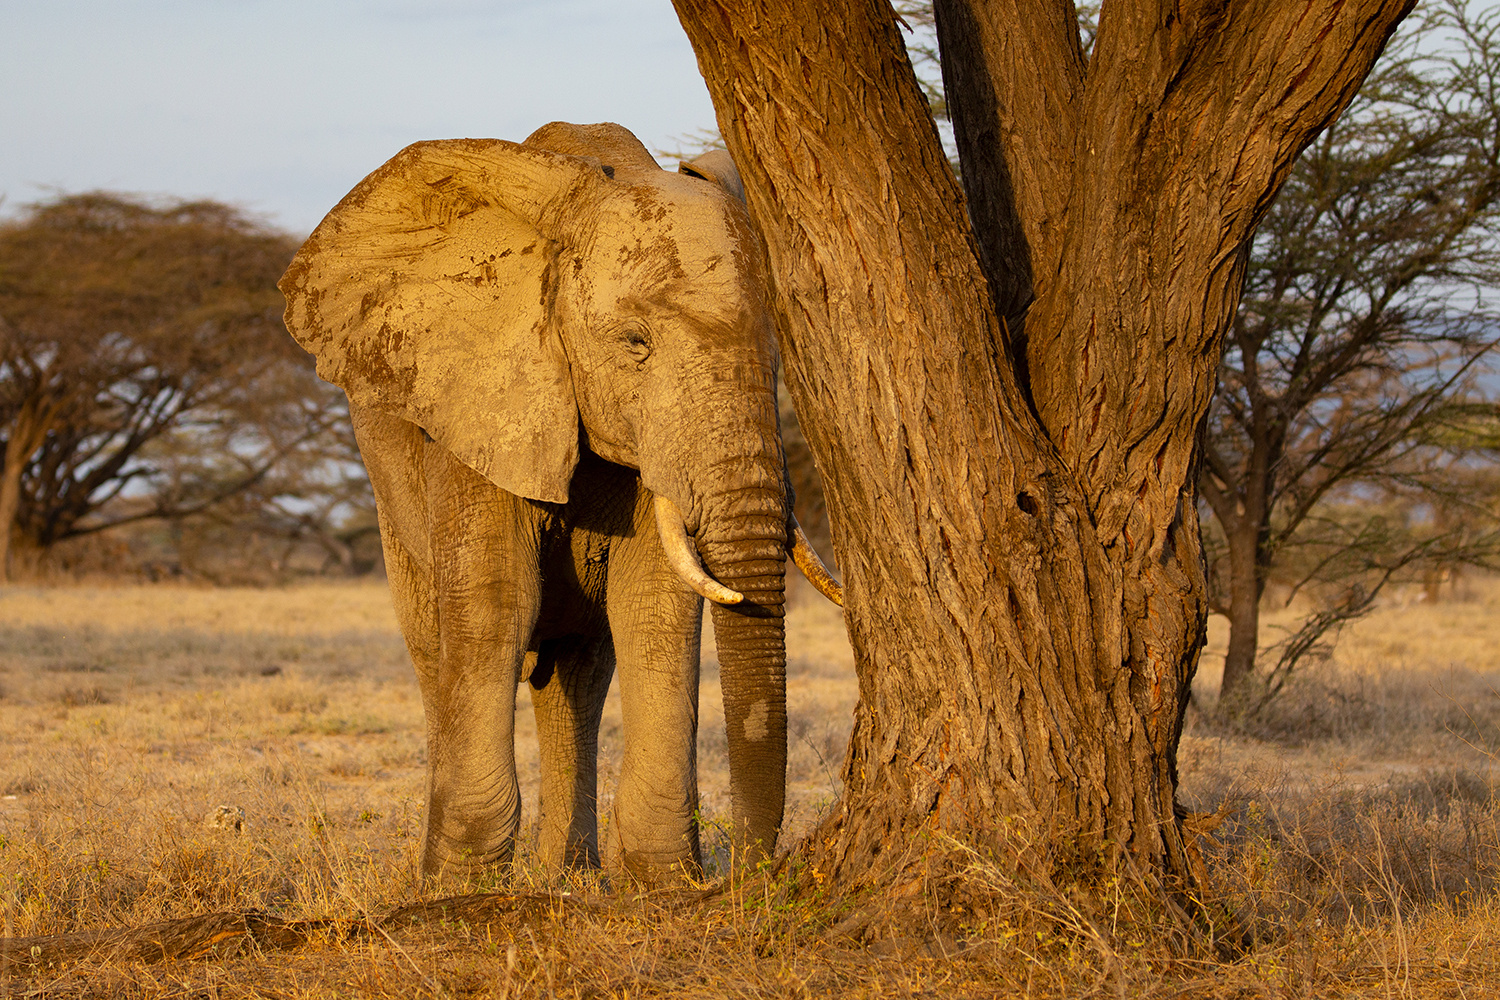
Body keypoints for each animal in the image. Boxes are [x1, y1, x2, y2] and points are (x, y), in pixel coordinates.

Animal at [280, 119, 840, 881]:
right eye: (635, 344)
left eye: (777, 349)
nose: (752, 873)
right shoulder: (481, 401)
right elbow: (497, 601)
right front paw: (459, 884)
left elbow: (654, 607)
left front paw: (664, 881)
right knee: (434, 652)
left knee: (577, 674)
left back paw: (566, 873)